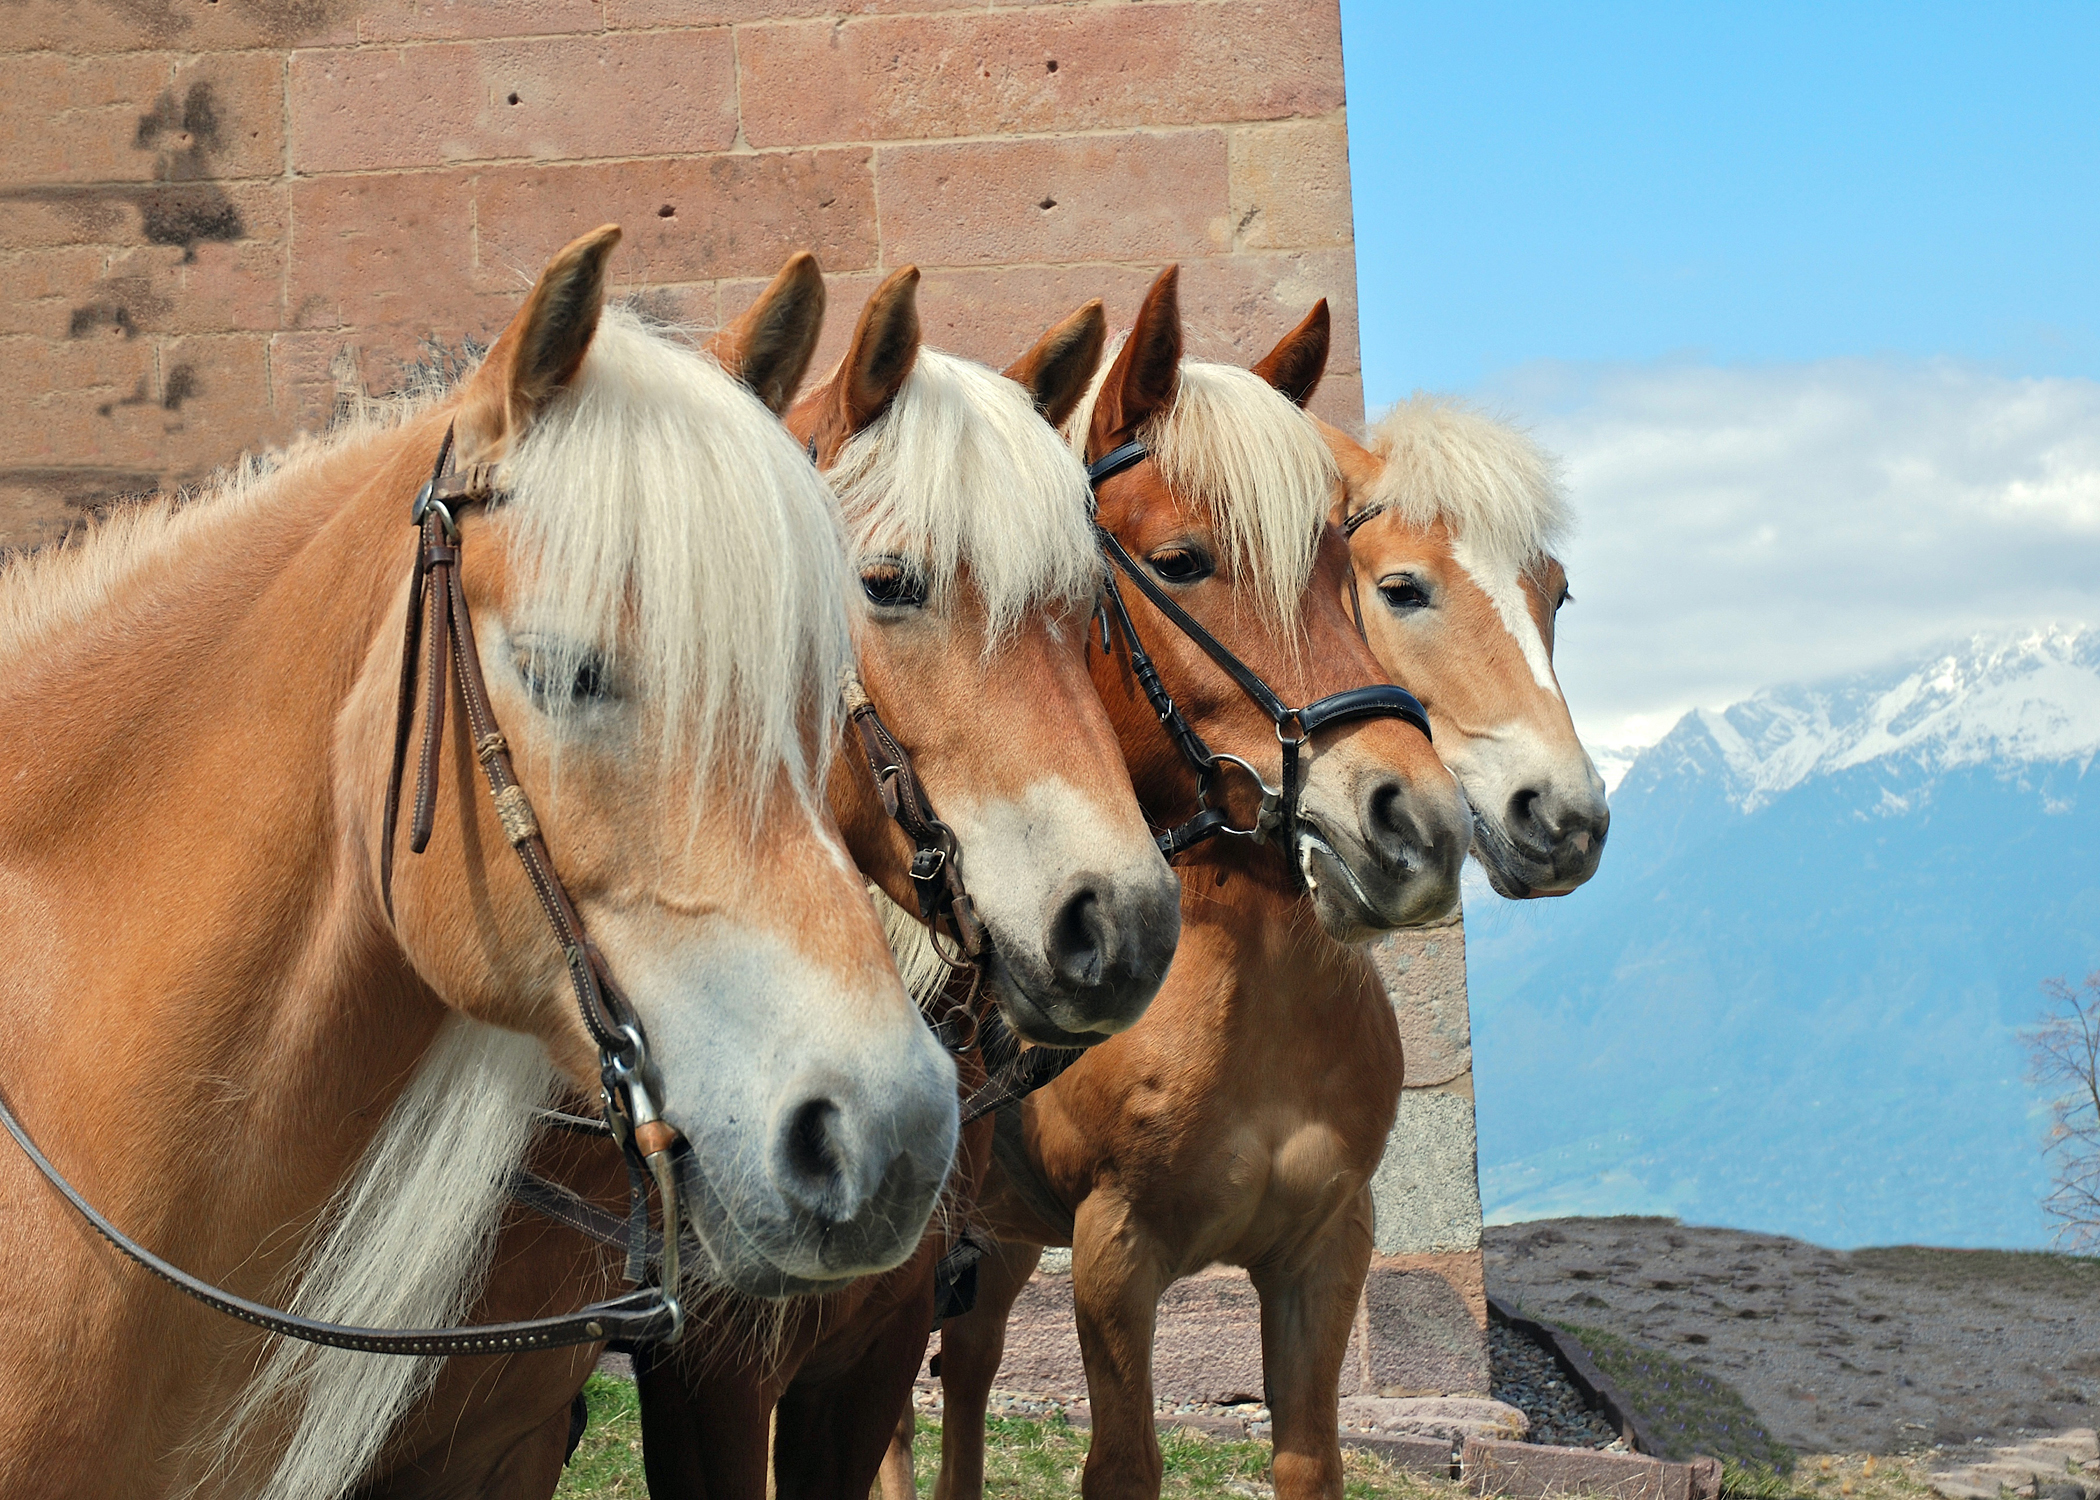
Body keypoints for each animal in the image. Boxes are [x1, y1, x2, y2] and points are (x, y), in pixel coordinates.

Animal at [911, 268, 1469, 1495]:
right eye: (1179, 563)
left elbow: (1310, 1460)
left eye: (1346, 570)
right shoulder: (1117, 1255)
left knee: (966, 1375)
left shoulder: (1323, 1253)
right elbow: (1124, 1465)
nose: (1415, 823)